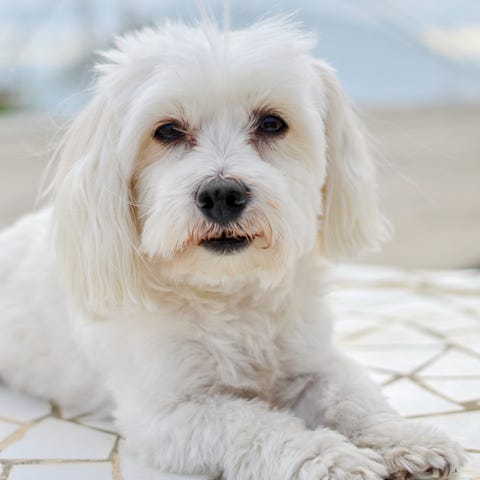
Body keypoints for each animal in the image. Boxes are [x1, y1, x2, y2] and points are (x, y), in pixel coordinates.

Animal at [0, 16, 464, 478]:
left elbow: (353, 397)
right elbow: (258, 425)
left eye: (272, 124)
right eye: (167, 130)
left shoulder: (314, 361)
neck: (229, 291)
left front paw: (405, 436)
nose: (221, 194)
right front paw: (330, 458)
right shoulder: (170, 413)